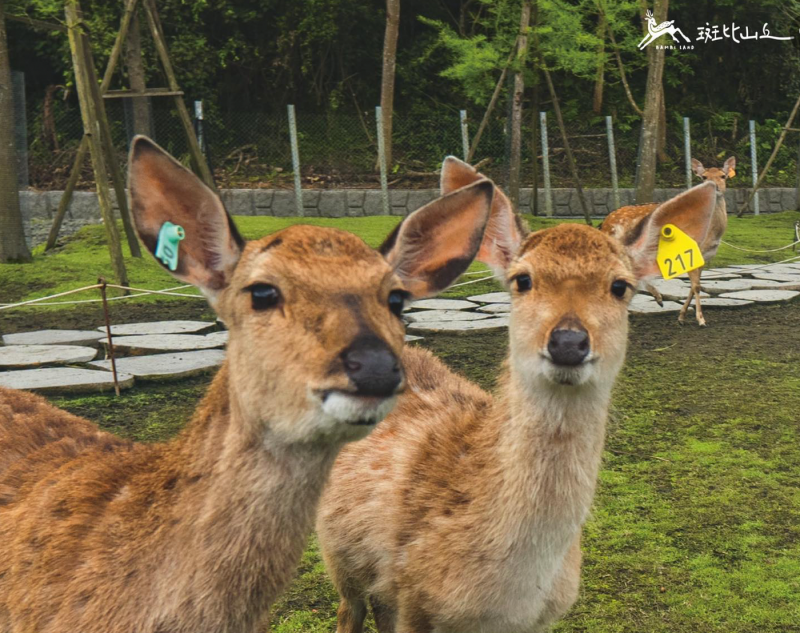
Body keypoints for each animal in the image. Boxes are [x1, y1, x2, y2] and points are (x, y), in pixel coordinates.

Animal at [318, 154, 720, 632]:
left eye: (620, 286)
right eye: (522, 280)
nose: (568, 341)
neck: (504, 600)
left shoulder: (543, 616)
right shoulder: (415, 599)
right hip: (336, 548)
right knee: (349, 608)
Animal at [600, 156, 736, 326]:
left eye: (723, 176)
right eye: (704, 177)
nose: (715, 186)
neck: (712, 234)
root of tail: (604, 222)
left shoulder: (703, 258)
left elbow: (694, 286)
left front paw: (681, 317)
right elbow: (696, 286)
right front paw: (701, 320)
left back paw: (657, 299)